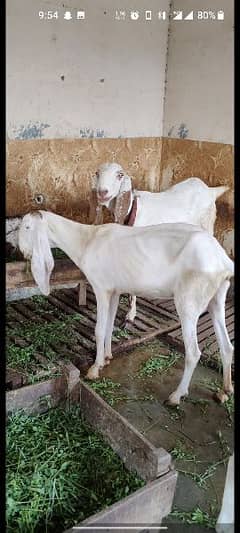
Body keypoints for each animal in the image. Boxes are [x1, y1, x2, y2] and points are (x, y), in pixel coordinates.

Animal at [18, 210, 234, 406]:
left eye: (27, 227)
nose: (22, 251)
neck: (86, 240)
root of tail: (223, 260)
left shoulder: (101, 288)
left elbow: (99, 330)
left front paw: (94, 369)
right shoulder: (114, 290)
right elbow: (109, 325)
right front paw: (106, 357)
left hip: (189, 300)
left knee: (193, 352)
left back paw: (176, 396)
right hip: (217, 297)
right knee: (226, 346)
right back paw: (224, 391)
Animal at [91, 161, 229, 324]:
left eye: (120, 175)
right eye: (97, 173)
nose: (102, 192)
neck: (133, 210)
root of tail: (210, 190)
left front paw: (131, 315)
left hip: (207, 226)